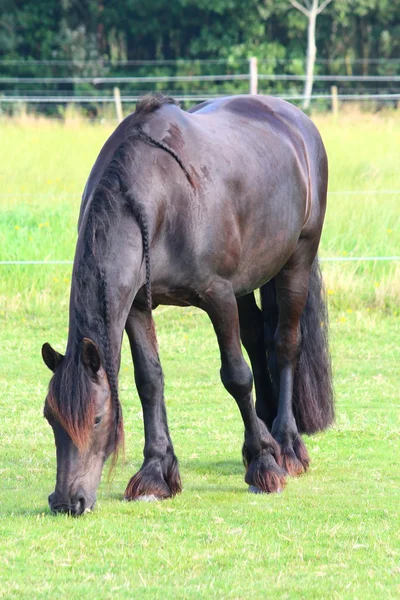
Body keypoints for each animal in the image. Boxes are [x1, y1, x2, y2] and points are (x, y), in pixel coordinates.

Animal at [42, 95, 332, 516]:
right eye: (50, 417)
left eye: (96, 420)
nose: (66, 501)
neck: (159, 200)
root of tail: (295, 118)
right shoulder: (137, 307)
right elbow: (149, 381)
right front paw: (155, 473)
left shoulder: (218, 296)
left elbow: (236, 376)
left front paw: (264, 465)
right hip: (248, 282)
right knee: (257, 339)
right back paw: (266, 431)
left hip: (296, 261)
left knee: (285, 345)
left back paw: (287, 446)